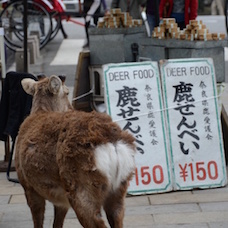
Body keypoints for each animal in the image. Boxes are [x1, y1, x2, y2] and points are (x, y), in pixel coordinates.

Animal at [15, 74, 136, 227]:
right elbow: (57, 223)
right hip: (120, 187)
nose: (71, 108)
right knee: (117, 216)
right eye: (67, 92)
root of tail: (111, 141)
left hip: (81, 187)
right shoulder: (60, 200)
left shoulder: (27, 185)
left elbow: (38, 221)